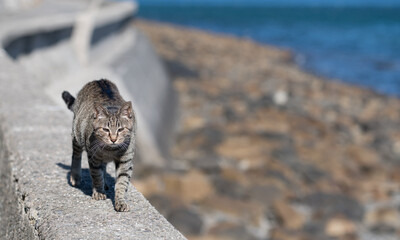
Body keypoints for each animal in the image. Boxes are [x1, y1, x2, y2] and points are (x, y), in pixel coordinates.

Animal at [61, 79, 136, 212]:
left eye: (121, 129)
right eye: (105, 129)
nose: (113, 139)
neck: (111, 150)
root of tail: (99, 80)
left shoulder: (126, 161)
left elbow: (122, 182)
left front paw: (120, 201)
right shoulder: (93, 157)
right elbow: (97, 175)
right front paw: (99, 192)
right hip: (77, 134)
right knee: (76, 155)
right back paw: (75, 176)